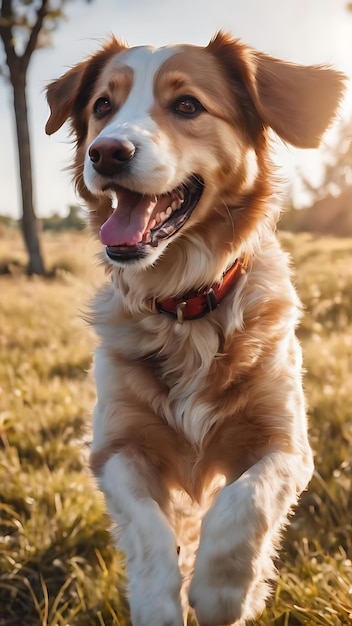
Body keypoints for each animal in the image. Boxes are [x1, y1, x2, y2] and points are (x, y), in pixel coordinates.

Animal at [45, 31, 346, 620]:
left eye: (187, 105)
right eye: (103, 107)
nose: (106, 151)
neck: (185, 303)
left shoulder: (286, 445)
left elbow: (243, 503)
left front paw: (223, 593)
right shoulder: (116, 448)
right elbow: (150, 534)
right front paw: (160, 603)